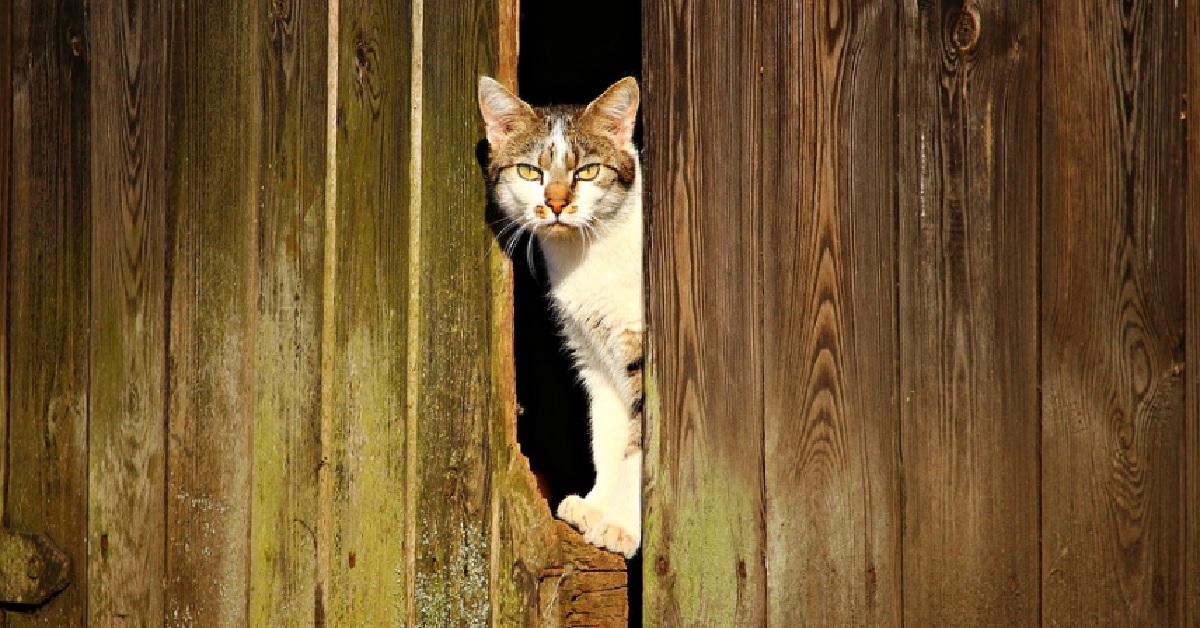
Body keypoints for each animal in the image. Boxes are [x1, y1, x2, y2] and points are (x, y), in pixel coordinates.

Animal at [480, 76, 648, 557]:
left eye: (587, 172)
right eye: (529, 172)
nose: (556, 204)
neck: (586, 254)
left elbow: (638, 444)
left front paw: (621, 526)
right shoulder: (593, 354)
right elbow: (608, 434)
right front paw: (596, 507)